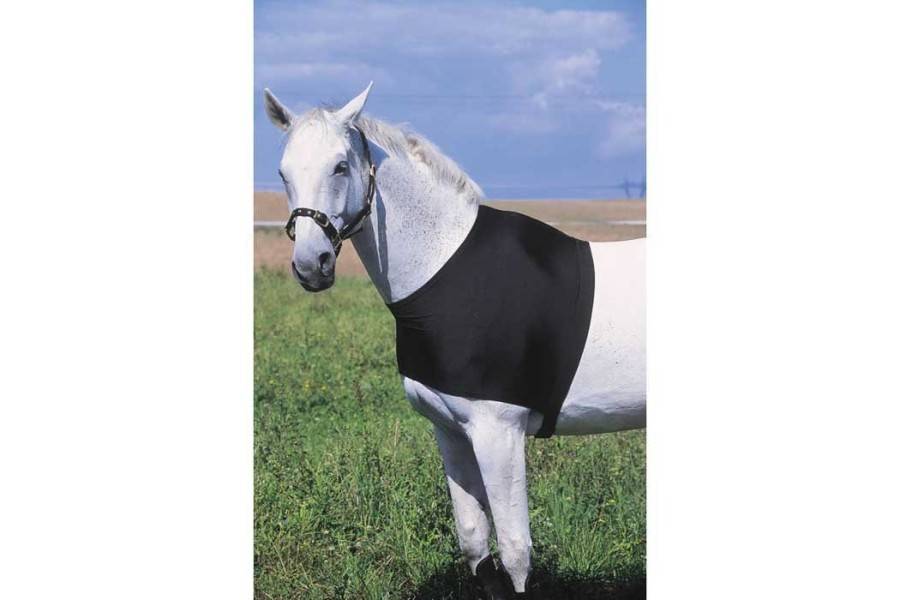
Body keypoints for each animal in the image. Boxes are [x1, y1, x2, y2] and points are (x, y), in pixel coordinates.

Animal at [263, 82, 646, 599]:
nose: (311, 265)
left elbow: (515, 551)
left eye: (340, 166)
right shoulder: (450, 430)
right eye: (283, 172)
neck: (445, 266)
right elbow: (474, 543)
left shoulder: (498, 431)